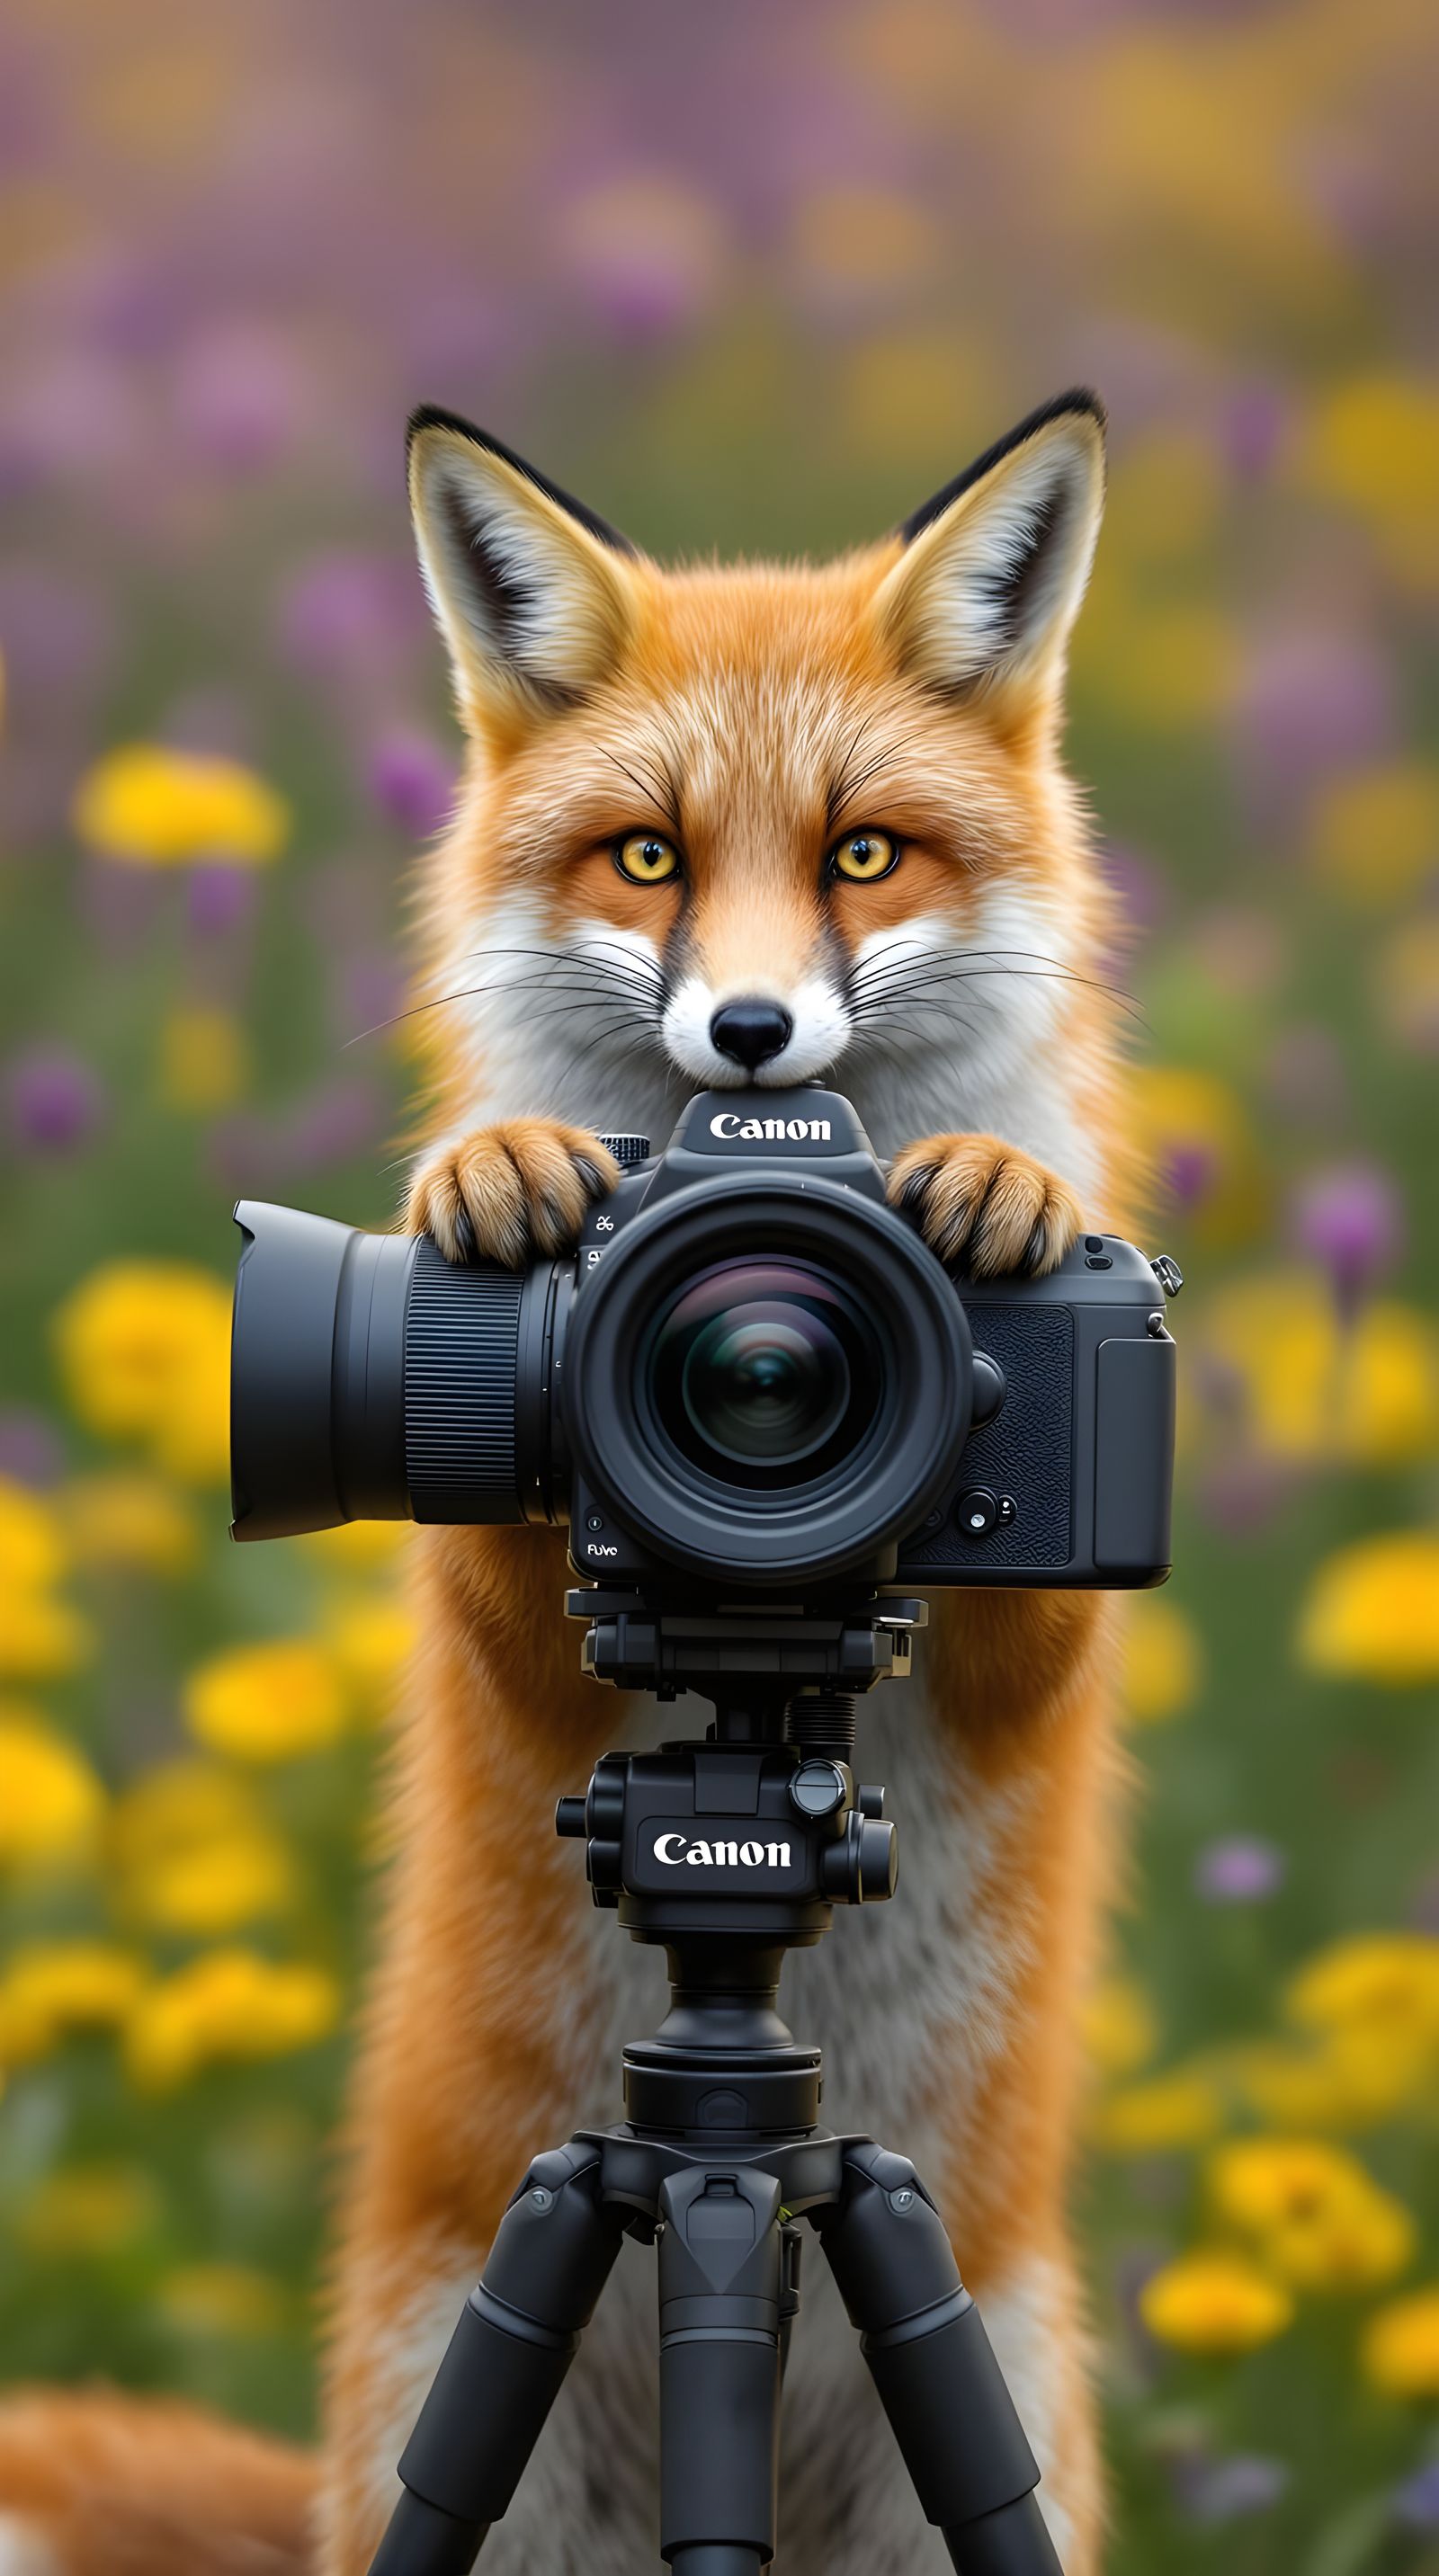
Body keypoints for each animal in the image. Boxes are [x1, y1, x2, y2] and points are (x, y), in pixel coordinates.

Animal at [0, 388, 1134, 2576]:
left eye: (864, 854)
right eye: (648, 857)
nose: (751, 1030)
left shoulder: (1036, 1646)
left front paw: (1002, 1190)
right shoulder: (501, 1631)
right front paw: (508, 1174)